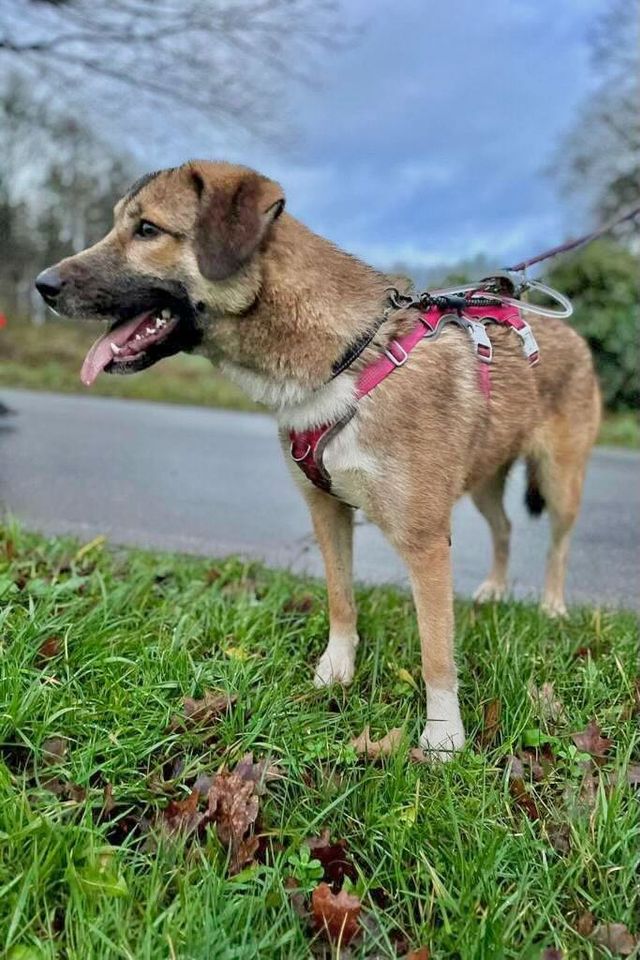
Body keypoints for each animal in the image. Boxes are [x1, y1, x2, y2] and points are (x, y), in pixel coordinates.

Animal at [33, 159, 600, 756]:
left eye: (147, 230)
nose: (42, 285)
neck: (346, 360)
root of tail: (572, 332)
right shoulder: (327, 512)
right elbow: (340, 600)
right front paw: (337, 671)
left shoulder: (425, 543)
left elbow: (435, 651)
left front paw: (443, 736)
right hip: (483, 480)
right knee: (505, 527)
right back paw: (493, 591)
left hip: (560, 483)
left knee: (557, 545)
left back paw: (552, 606)